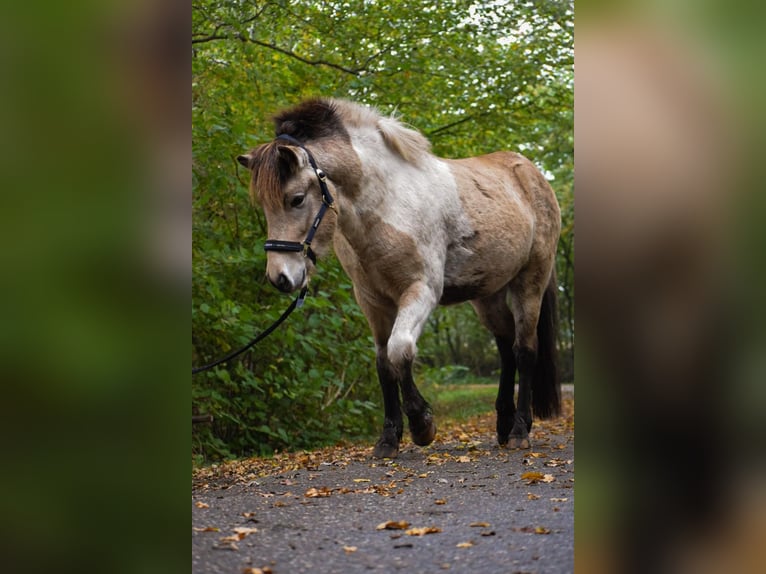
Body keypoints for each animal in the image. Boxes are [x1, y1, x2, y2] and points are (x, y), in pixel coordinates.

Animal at [240, 99, 564, 460]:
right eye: (264, 205)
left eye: (296, 199)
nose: (280, 277)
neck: (388, 202)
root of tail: (534, 177)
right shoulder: (372, 300)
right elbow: (383, 364)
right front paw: (388, 439)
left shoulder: (421, 291)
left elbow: (400, 350)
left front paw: (422, 424)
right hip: (487, 294)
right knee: (506, 346)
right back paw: (504, 425)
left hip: (530, 281)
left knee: (524, 350)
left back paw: (520, 430)